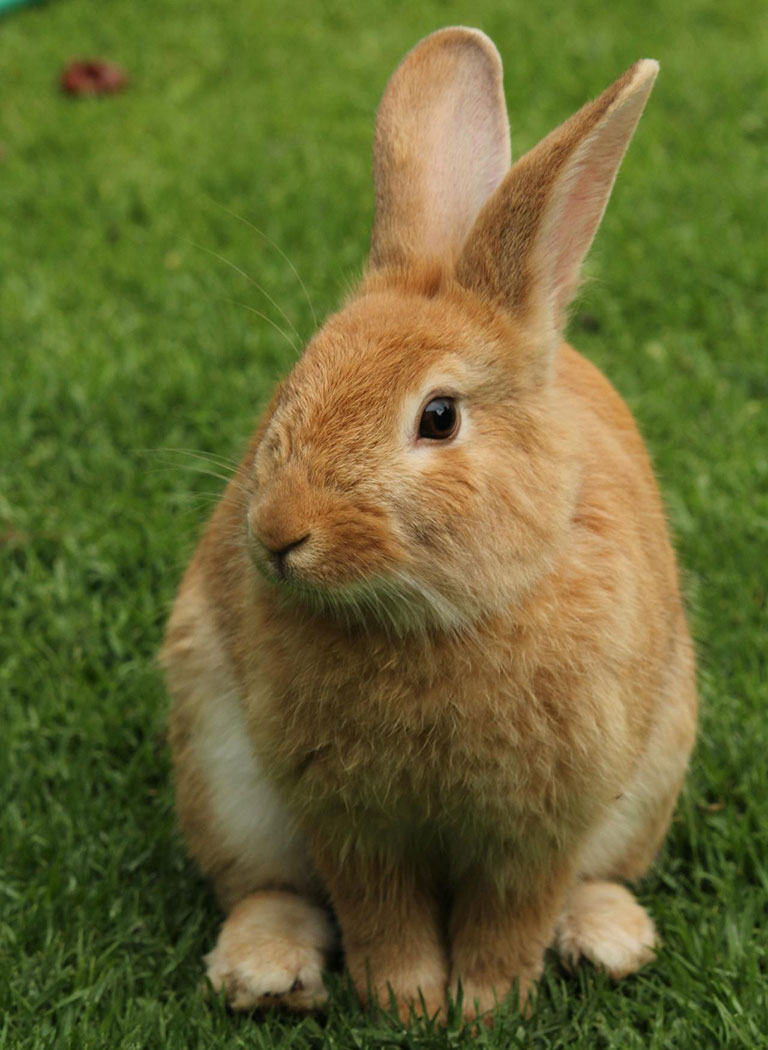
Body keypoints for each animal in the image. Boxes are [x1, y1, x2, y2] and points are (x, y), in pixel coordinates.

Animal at [161, 26, 697, 1024]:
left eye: (438, 418)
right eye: (293, 383)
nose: (279, 534)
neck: (434, 619)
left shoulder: (542, 824)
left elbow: (512, 913)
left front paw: (485, 1005)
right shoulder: (349, 821)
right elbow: (381, 911)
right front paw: (407, 1001)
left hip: (651, 780)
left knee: (596, 878)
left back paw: (608, 942)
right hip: (221, 776)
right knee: (267, 887)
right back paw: (266, 975)